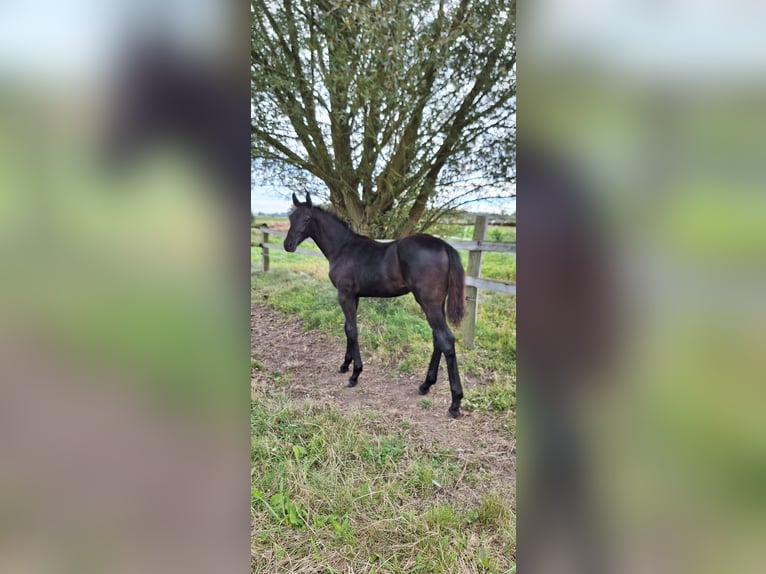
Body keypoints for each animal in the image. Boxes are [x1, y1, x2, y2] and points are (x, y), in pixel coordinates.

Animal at [284, 194, 468, 418]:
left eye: (307, 218)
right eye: (291, 217)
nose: (288, 244)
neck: (343, 248)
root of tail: (443, 245)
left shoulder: (345, 294)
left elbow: (352, 330)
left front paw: (354, 375)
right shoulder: (354, 297)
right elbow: (347, 328)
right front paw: (345, 365)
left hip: (428, 303)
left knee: (446, 340)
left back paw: (455, 403)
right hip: (437, 304)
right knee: (437, 339)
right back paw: (425, 385)